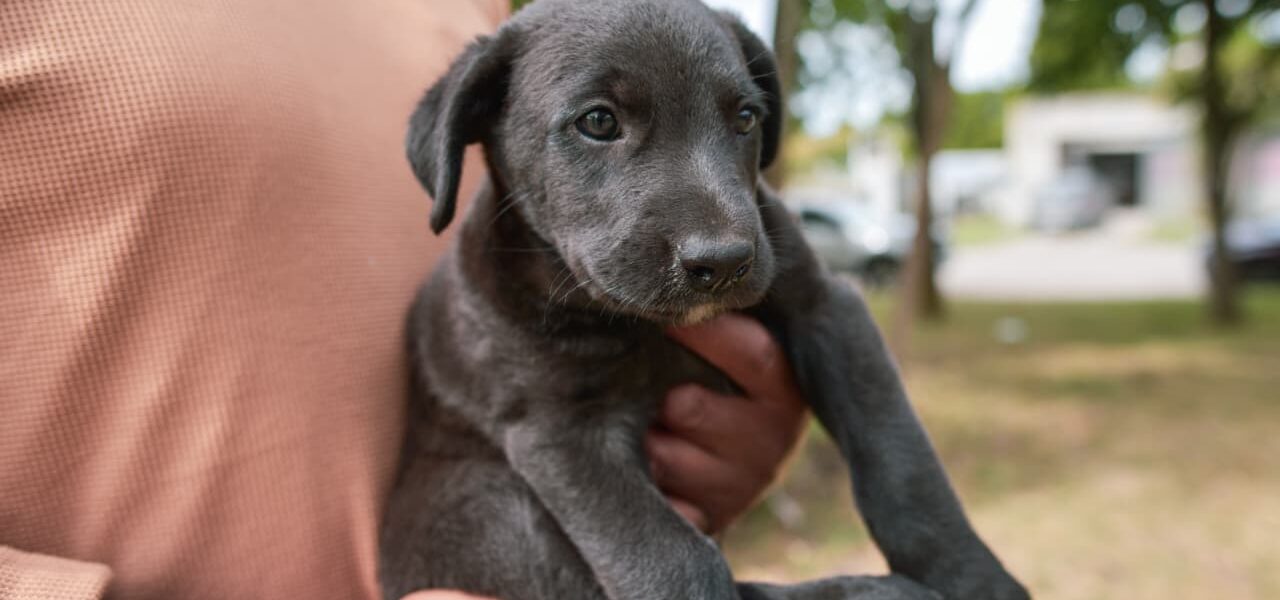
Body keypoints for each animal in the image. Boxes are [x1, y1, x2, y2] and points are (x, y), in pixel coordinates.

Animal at [379, 1, 1029, 598]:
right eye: (598, 121)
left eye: (745, 116)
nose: (723, 263)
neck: (638, 324)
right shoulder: (557, 428)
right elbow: (673, 557)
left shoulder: (827, 308)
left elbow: (903, 465)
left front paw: (977, 580)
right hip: (488, 508)